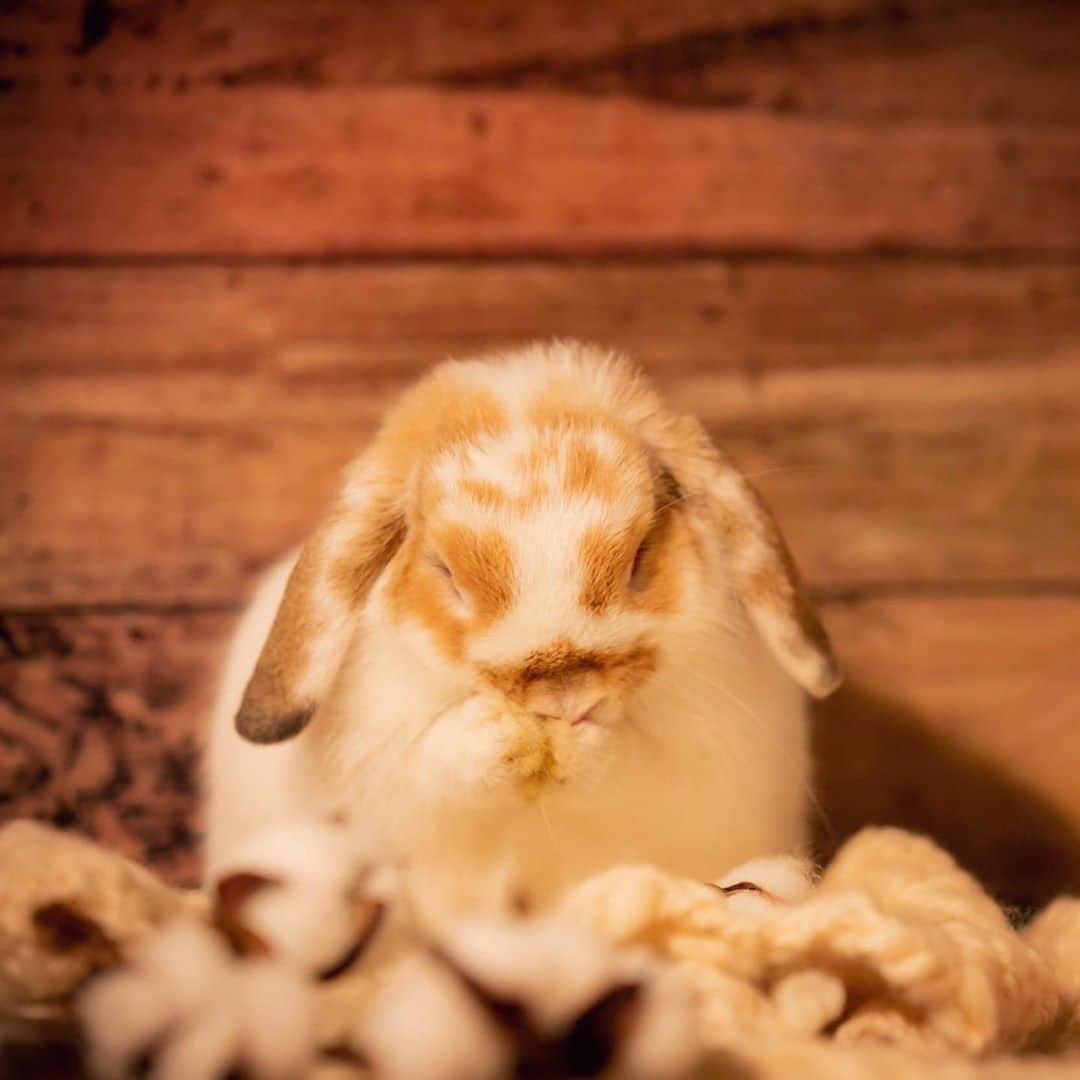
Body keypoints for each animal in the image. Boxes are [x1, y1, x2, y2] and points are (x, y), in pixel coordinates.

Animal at [203, 341, 839, 919]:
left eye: (640, 555)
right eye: (445, 573)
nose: (563, 697)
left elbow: (637, 762)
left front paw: (582, 745)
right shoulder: (383, 767)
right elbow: (433, 760)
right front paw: (497, 735)